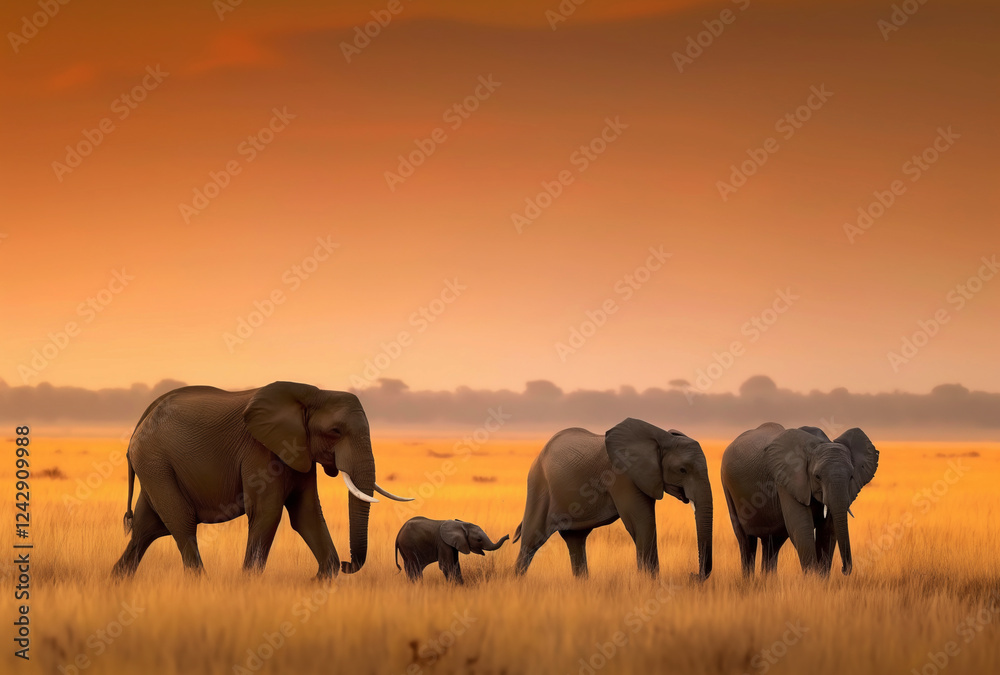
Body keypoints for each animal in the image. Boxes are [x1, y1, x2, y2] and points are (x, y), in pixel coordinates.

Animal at [111, 381, 411, 579]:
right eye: (335, 431)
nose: (349, 564)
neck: (313, 394)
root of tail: (141, 419)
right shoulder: (260, 450)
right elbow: (267, 513)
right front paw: (249, 583)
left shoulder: (299, 451)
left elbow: (307, 514)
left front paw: (322, 579)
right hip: (155, 462)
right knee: (180, 522)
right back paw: (200, 584)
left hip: (154, 467)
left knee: (146, 528)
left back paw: (117, 581)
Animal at [513, 418, 713, 579]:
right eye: (682, 470)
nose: (693, 575)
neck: (661, 438)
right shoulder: (622, 475)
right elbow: (641, 524)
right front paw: (650, 584)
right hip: (539, 486)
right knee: (531, 539)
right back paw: (517, 583)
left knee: (575, 540)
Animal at [720, 422, 879, 577]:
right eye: (817, 477)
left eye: (851, 477)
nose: (844, 569)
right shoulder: (786, 479)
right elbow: (802, 528)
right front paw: (812, 579)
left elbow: (828, 530)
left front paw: (821, 579)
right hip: (728, 486)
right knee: (746, 540)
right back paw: (749, 580)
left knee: (772, 542)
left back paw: (768, 580)